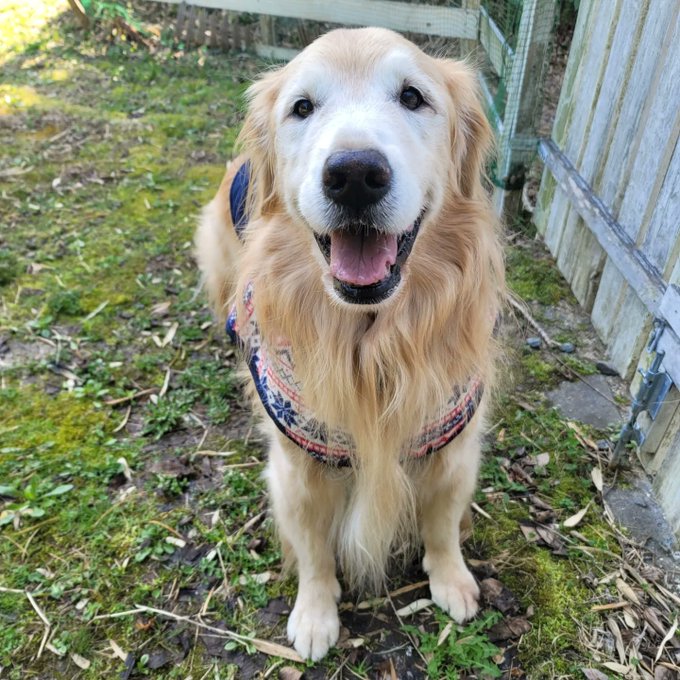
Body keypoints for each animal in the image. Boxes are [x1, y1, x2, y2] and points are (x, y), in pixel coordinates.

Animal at [197, 29, 504, 660]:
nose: (355, 174)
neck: (370, 339)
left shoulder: (453, 440)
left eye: (413, 96)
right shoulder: (296, 464)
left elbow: (442, 521)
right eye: (302, 108)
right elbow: (315, 548)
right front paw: (315, 614)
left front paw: (451, 579)